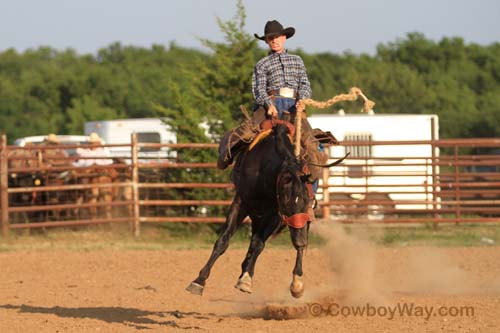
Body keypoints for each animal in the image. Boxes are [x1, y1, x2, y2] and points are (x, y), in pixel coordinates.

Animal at [188, 122, 312, 298]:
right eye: (287, 200)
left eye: (306, 198)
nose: (300, 240)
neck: (264, 170)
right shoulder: (241, 203)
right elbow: (223, 240)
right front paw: (199, 280)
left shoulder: (275, 214)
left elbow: (258, 244)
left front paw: (246, 280)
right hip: (257, 216)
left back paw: (296, 281)